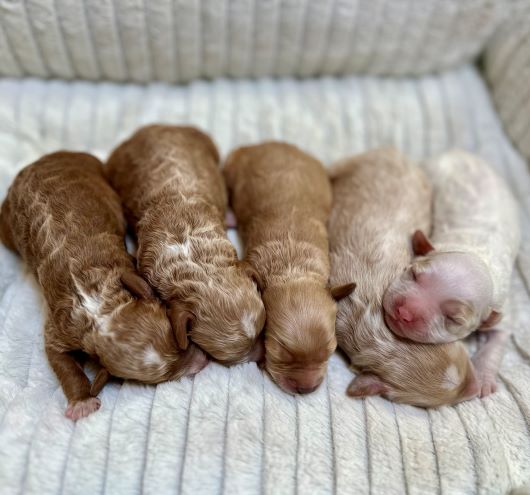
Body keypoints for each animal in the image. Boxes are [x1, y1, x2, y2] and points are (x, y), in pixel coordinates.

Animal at [0, 153, 206, 420]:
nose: (204, 362)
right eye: (167, 376)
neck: (100, 307)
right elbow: (62, 361)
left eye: (183, 342)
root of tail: (37, 162)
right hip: (7, 225)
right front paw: (82, 401)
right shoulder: (63, 325)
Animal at [221, 142, 352, 396]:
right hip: (235, 163)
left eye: (330, 351)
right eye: (281, 352)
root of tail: (273, 144)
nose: (306, 389)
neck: (293, 270)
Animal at [328, 147, 476, 406]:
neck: (383, 334)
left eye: (463, 354)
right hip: (354, 163)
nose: (476, 387)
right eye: (439, 403)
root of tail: (395, 151)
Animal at [382, 149, 516, 398]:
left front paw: (483, 376)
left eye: (453, 318)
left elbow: (499, 336)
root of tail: (460, 152)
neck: (475, 254)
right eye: (413, 274)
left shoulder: (501, 306)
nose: (404, 312)